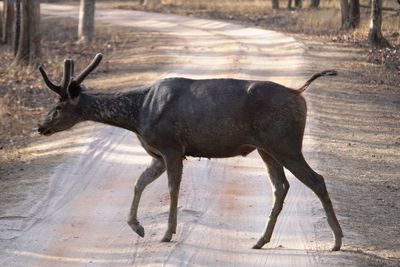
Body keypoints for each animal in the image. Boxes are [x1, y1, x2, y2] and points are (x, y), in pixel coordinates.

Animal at [38, 54, 344, 251]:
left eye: (58, 107)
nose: (40, 126)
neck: (138, 114)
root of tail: (299, 93)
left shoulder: (172, 146)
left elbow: (173, 188)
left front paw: (166, 233)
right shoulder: (158, 155)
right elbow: (139, 182)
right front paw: (137, 227)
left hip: (285, 142)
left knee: (316, 179)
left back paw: (337, 240)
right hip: (266, 148)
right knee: (280, 186)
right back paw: (260, 240)